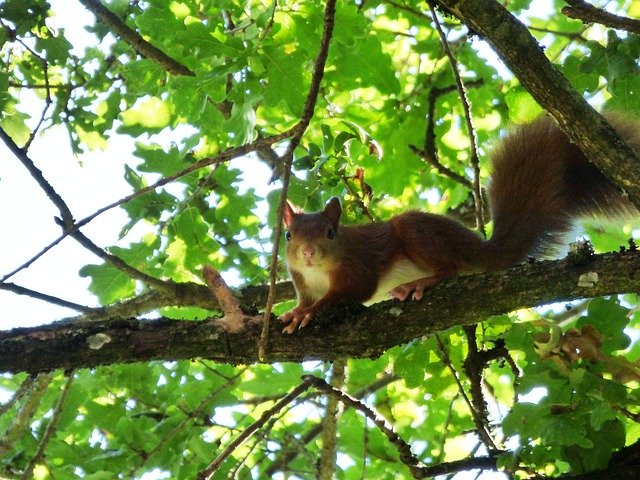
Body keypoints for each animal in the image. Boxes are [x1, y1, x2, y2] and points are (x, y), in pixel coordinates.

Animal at [282, 112, 640, 334]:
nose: (309, 253)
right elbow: (306, 298)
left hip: (416, 232)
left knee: (450, 268)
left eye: (331, 233)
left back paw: (421, 282)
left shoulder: (358, 265)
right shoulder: (301, 280)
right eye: (288, 235)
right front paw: (297, 310)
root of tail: (480, 249)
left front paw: (310, 312)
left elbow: (355, 290)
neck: (318, 273)